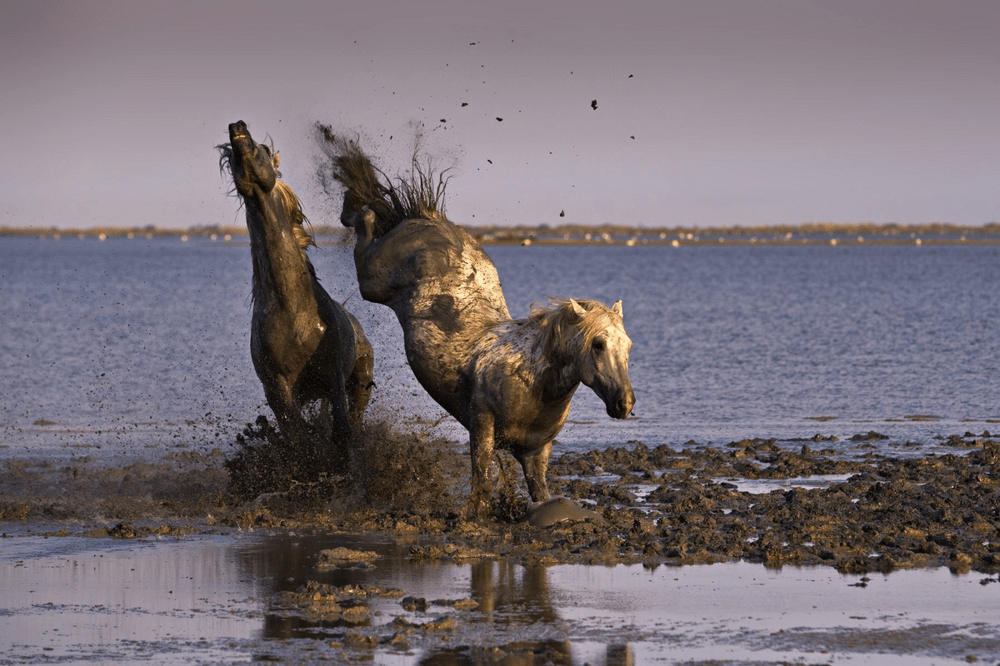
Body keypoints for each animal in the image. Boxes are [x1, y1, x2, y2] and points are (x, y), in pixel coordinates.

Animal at [220, 122, 376, 464]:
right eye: (232, 160)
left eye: (264, 148)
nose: (237, 129)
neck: (292, 310)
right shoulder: (279, 388)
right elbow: (297, 440)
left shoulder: (332, 374)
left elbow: (341, 433)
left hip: (359, 383)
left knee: (355, 423)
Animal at [320, 127, 632, 516]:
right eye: (598, 344)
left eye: (628, 347)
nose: (624, 404)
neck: (533, 378)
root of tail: (425, 218)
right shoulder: (481, 422)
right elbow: (481, 479)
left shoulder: (535, 452)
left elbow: (540, 493)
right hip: (373, 281)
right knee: (364, 237)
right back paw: (361, 215)